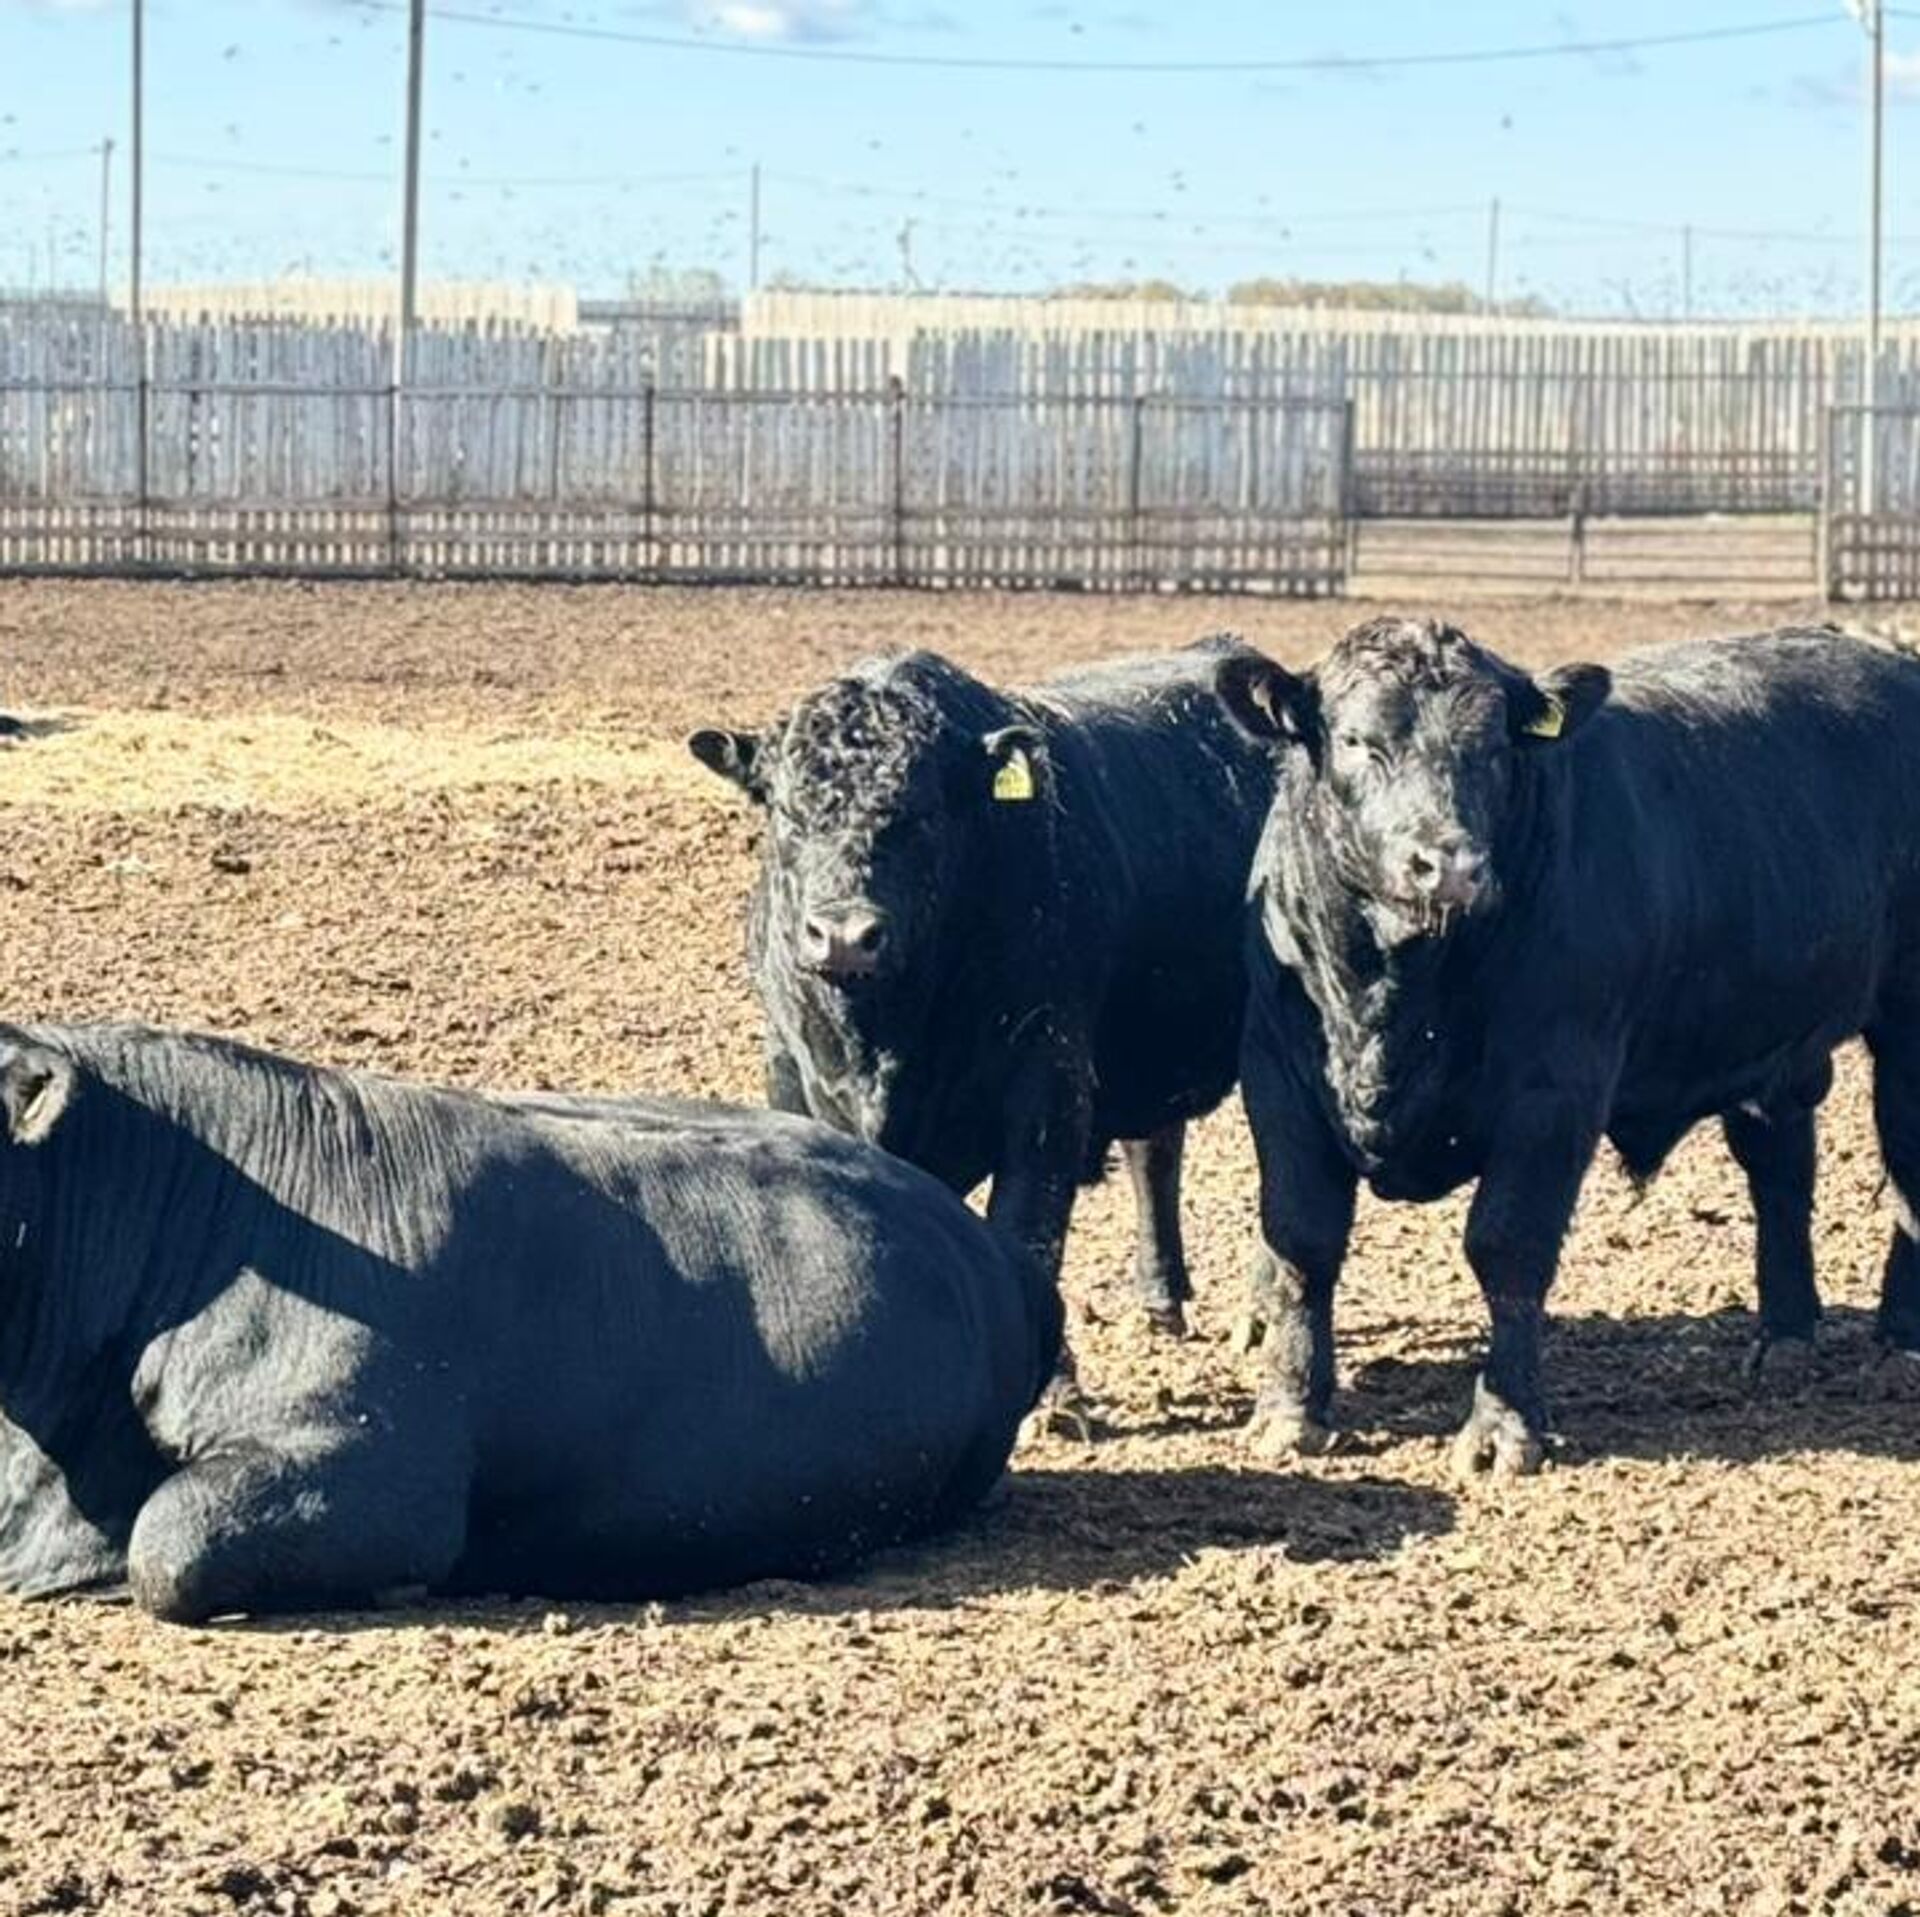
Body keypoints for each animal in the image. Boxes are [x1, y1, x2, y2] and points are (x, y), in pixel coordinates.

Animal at [688, 641, 1274, 1424]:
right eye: (785, 811)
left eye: (922, 813)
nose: (843, 936)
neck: (888, 1039)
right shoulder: (792, 1076)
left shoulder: (1047, 1094)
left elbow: (1026, 1234)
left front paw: (1056, 1393)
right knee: (1156, 1149)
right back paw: (1161, 1300)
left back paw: (1259, 1315)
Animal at [1213, 617, 1920, 1478]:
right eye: (1356, 740)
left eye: (1493, 747)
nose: (1448, 862)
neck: (1396, 990)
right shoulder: (1277, 1072)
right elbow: (1302, 1242)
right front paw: (1289, 1408)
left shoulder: (1554, 1089)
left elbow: (1507, 1245)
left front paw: (1504, 1426)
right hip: (1770, 1038)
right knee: (1781, 1174)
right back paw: (1784, 1337)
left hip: (1909, 1023)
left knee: (1910, 1173)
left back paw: (1900, 1344)